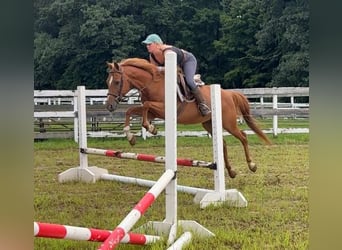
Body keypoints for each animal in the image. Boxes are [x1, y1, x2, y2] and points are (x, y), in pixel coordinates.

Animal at [105, 57, 272, 178]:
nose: (109, 106)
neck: (153, 83)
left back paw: (252, 165)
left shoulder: (163, 109)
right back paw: (231, 172)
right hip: (208, 123)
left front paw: (151, 128)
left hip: (228, 122)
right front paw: (131, 136)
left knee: (243, 136)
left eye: (117, 82)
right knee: (223, 143)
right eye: (108, 82)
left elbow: (145, 106)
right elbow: (131, 110)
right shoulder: (155, 112)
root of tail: (229, 94)